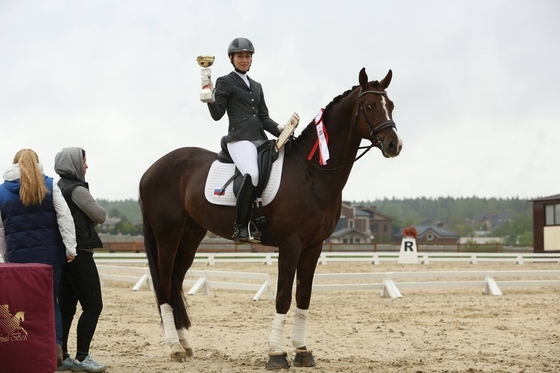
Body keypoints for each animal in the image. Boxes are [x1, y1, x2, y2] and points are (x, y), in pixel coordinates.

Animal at [139, 68, 402, 368]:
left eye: (391, 105)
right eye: (369, 106)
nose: (394, 145)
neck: (311, 173)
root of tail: (150, 170)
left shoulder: (314, 246)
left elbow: (303, 296)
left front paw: (302, 350)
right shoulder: (290, 244)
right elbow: (283, 296)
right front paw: (276, 353)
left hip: (191, 234)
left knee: (175, 280)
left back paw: (184, 342)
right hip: (167, 235)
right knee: (163, 283)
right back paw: (174, 347)